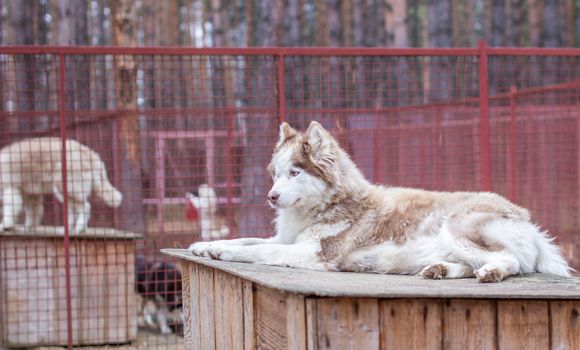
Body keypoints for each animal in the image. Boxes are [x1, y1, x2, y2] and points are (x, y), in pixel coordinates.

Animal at [189, 121, 572, 284]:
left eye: (295, 173)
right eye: (276, 174)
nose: (271, 196)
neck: (329, 203)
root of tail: (527, 219)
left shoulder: (315, 254)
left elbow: (259, 249)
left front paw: (222, 251)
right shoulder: (285, 239)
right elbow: (247, 238)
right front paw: (205, 245)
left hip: (455, 228)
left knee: (511, 262)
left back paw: (489, 273)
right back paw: (439, 270)